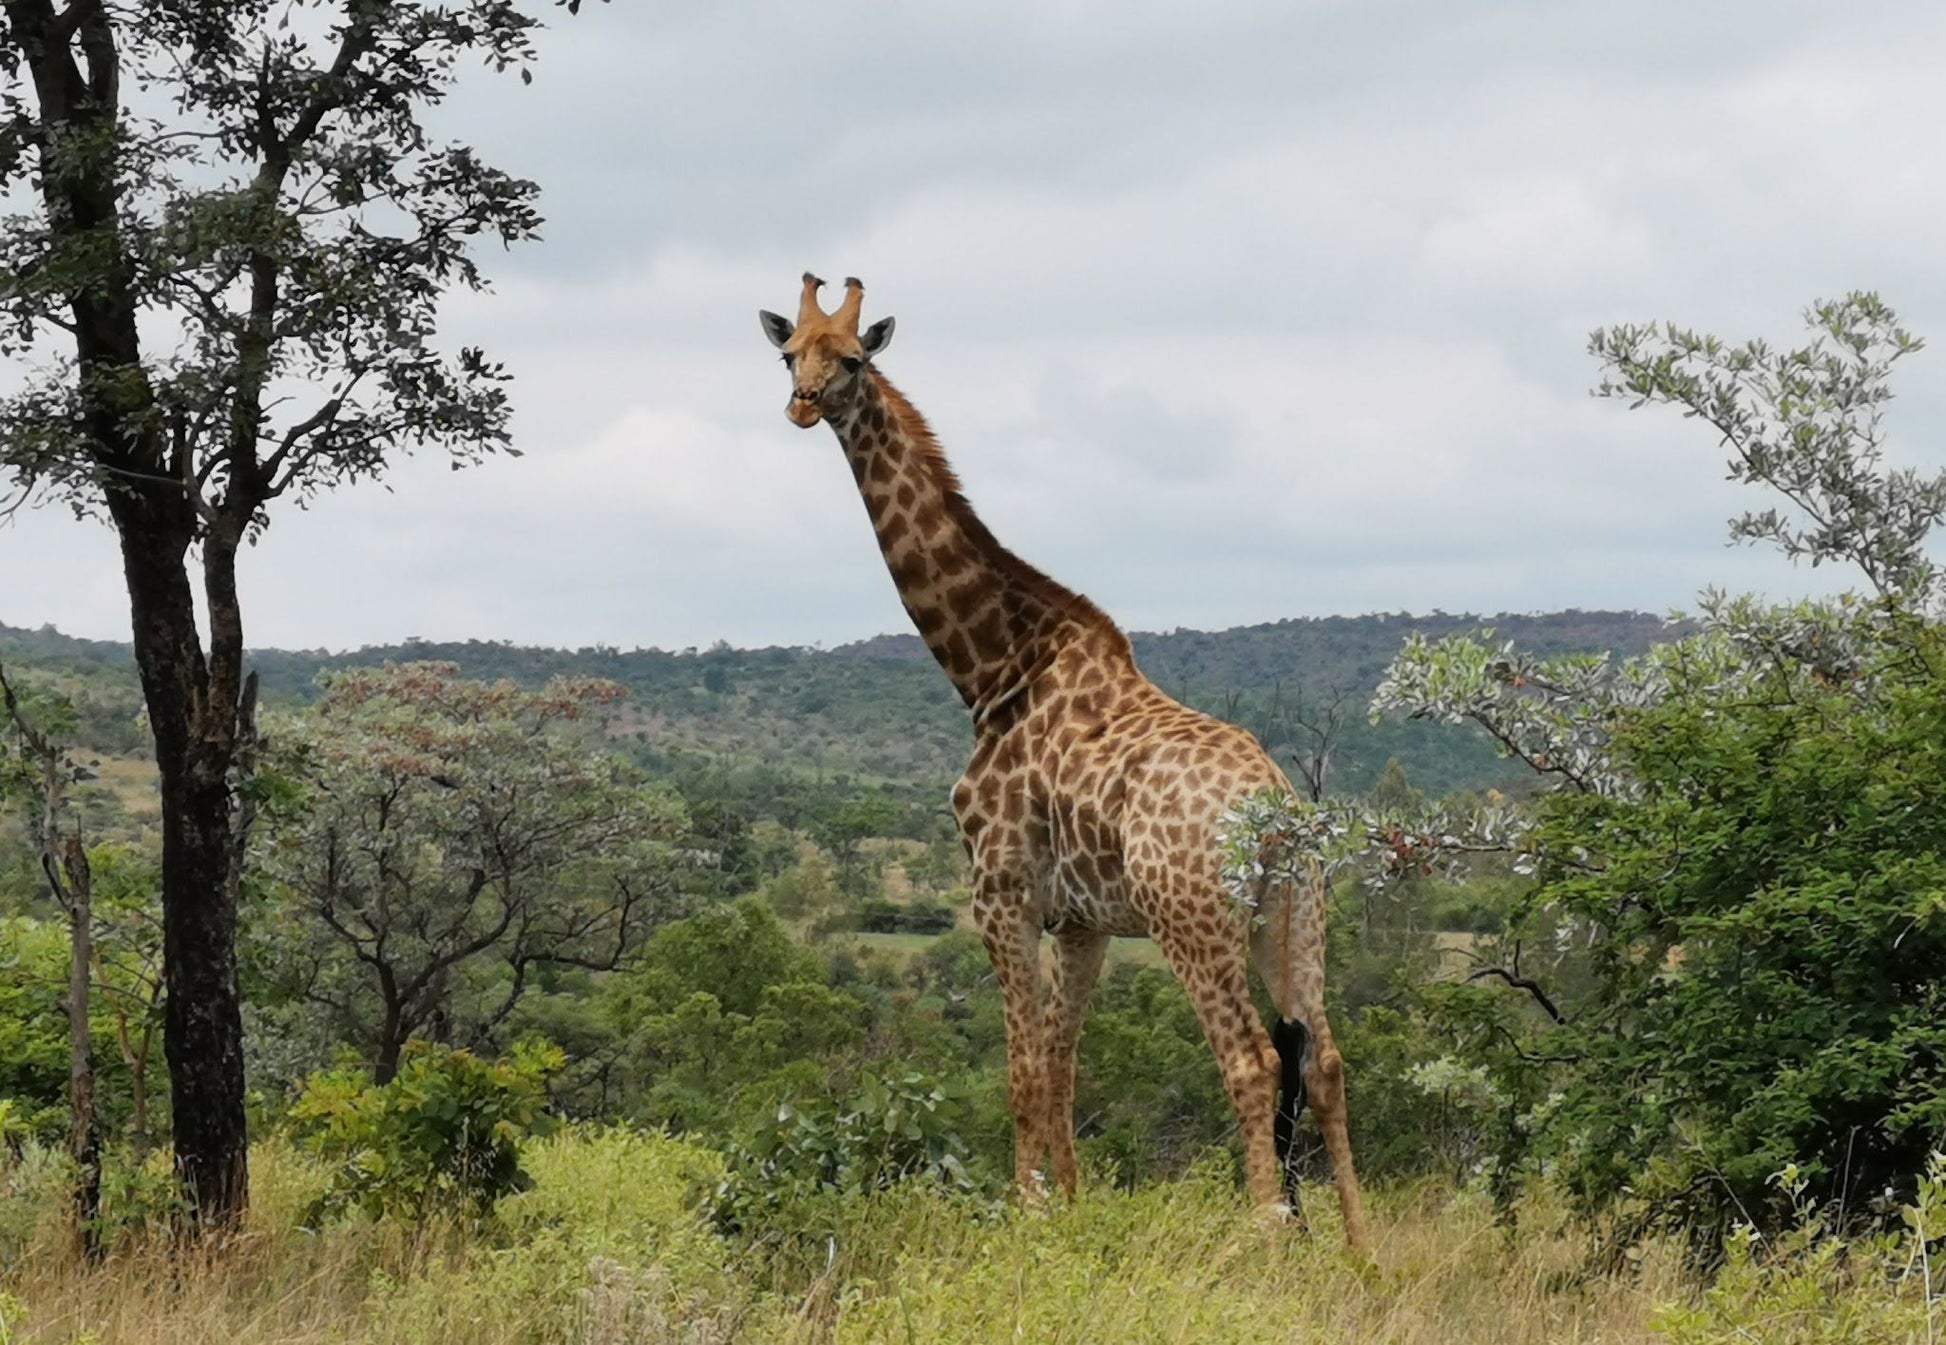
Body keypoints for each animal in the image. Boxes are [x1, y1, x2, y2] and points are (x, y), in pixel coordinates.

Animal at [758, 274, 1369, 1253]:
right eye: (788, 356)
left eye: (852, 360)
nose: (803, 405)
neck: (993, 667)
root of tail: (1274, 813)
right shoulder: (1083, 920)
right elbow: (1061, 1065)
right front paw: (1072, 1216)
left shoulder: (999, 889)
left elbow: (1018, 1068)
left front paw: (1026, 1215)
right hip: (1297, 909)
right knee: (1327, 1058)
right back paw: (1359, 1250)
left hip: (1192, 918)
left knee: (1249, 1059)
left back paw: (1267, 1235)